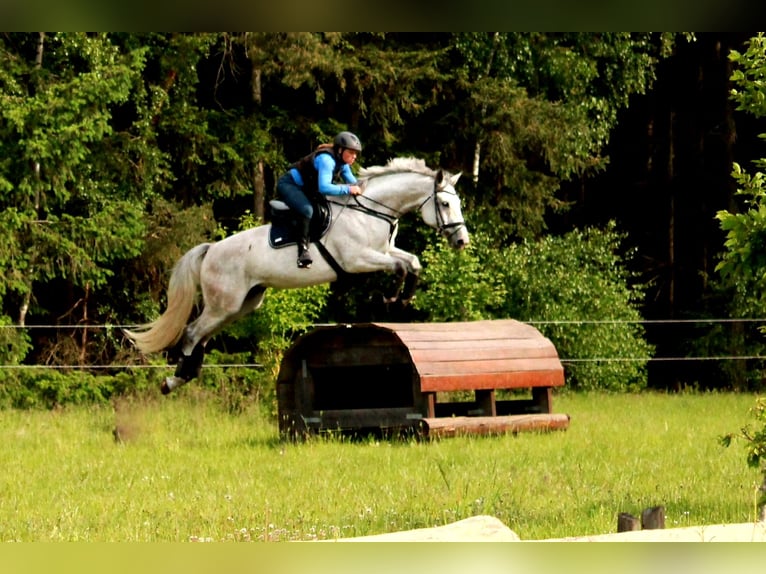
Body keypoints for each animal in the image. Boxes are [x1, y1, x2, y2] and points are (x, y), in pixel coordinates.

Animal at [124, 157, 470, 394]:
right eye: (444, 203)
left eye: (457, 203)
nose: (462, 241)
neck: (372, 211)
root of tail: (210, 250)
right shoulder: (358, 259)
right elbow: (399, 267)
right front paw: (390, 297)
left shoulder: (385, 250)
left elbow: (412, 262)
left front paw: (404, 296)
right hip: (225, 303)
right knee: (192, 332)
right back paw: (174, 380)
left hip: (242, 304)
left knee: (202, 336)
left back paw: (185, 375)